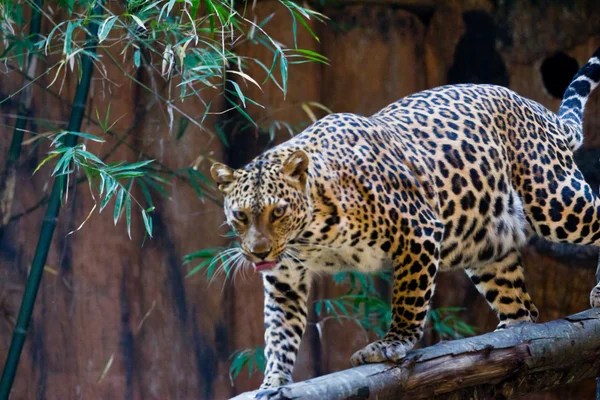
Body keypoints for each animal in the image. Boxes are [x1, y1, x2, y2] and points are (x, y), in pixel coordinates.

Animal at [210, 48, 600, 396]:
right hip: (489, 243)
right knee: (523, 310)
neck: (309, 236)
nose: (259, 253)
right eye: (241, 216)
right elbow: (280, 332)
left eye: (277, 212)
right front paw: (272, 382)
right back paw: (508, 338)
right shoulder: (285, 278)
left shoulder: (418, 232)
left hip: (555, 200)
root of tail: (538, 109)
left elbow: (408, 298)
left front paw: (391, 344)